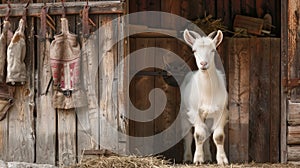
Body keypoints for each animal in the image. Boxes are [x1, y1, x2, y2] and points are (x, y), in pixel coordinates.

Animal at [179, 29, 229, 164]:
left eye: (213, 50)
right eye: (194, 51)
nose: (203, 63)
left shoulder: (221, 111)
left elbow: (218, 136)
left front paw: (222, 160)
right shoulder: (195, 112)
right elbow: (199, 135)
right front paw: (198, 159)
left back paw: (208, 157)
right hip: (184, 112)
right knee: (187, 135)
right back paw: (187, 158)